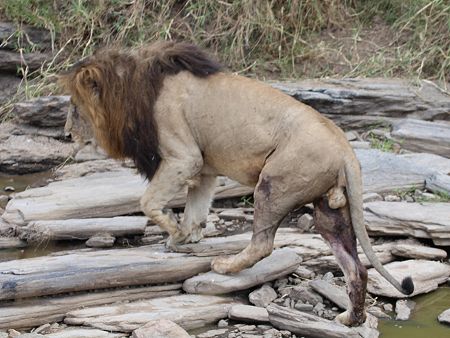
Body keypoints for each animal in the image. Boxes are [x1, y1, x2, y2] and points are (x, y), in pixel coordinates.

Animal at [59, 40, 412, 328]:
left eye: (75, 108)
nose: (65, 134)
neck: (132, 88)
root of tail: (345, 148)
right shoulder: (203, 169)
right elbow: (196, 207)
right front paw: (186, 236)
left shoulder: (184, 157)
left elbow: (148, 202)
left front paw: (175, 233)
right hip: (329, 210)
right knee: (356, 268)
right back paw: (350, 319)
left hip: (273, 184)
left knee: (263, 244)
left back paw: (226, 266)